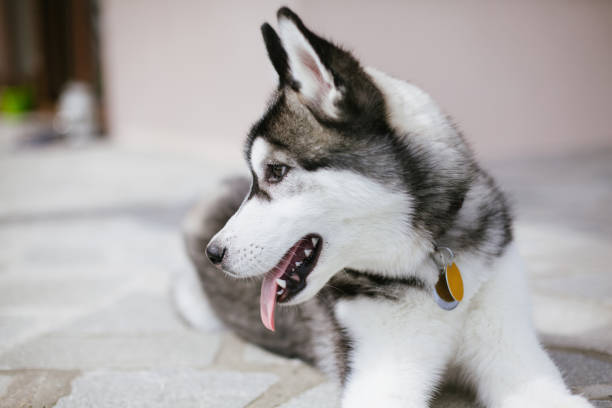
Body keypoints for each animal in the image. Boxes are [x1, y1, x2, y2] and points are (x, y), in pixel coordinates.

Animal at [182, 7, 592, 408]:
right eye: (262, 173)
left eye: (276, 171)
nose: (214, 253)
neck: (423, 268)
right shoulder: (381, 378)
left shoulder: (516, 351)